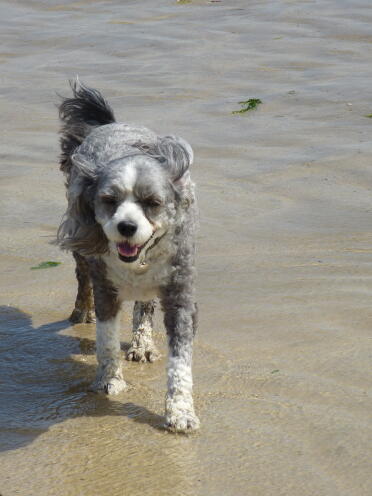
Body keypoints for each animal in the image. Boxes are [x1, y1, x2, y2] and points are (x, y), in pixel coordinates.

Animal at [56, 80, 199, 430]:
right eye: (109, 200)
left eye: (152, 202)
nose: (127, 226)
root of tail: (110, 124)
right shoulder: (106, 287)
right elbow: (106, 339)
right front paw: (110, 382)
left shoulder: (180, 292)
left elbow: (180, 360)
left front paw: (180, 411)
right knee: (82, 278)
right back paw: (81, 312)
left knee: (144, 306)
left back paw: (142, 343)